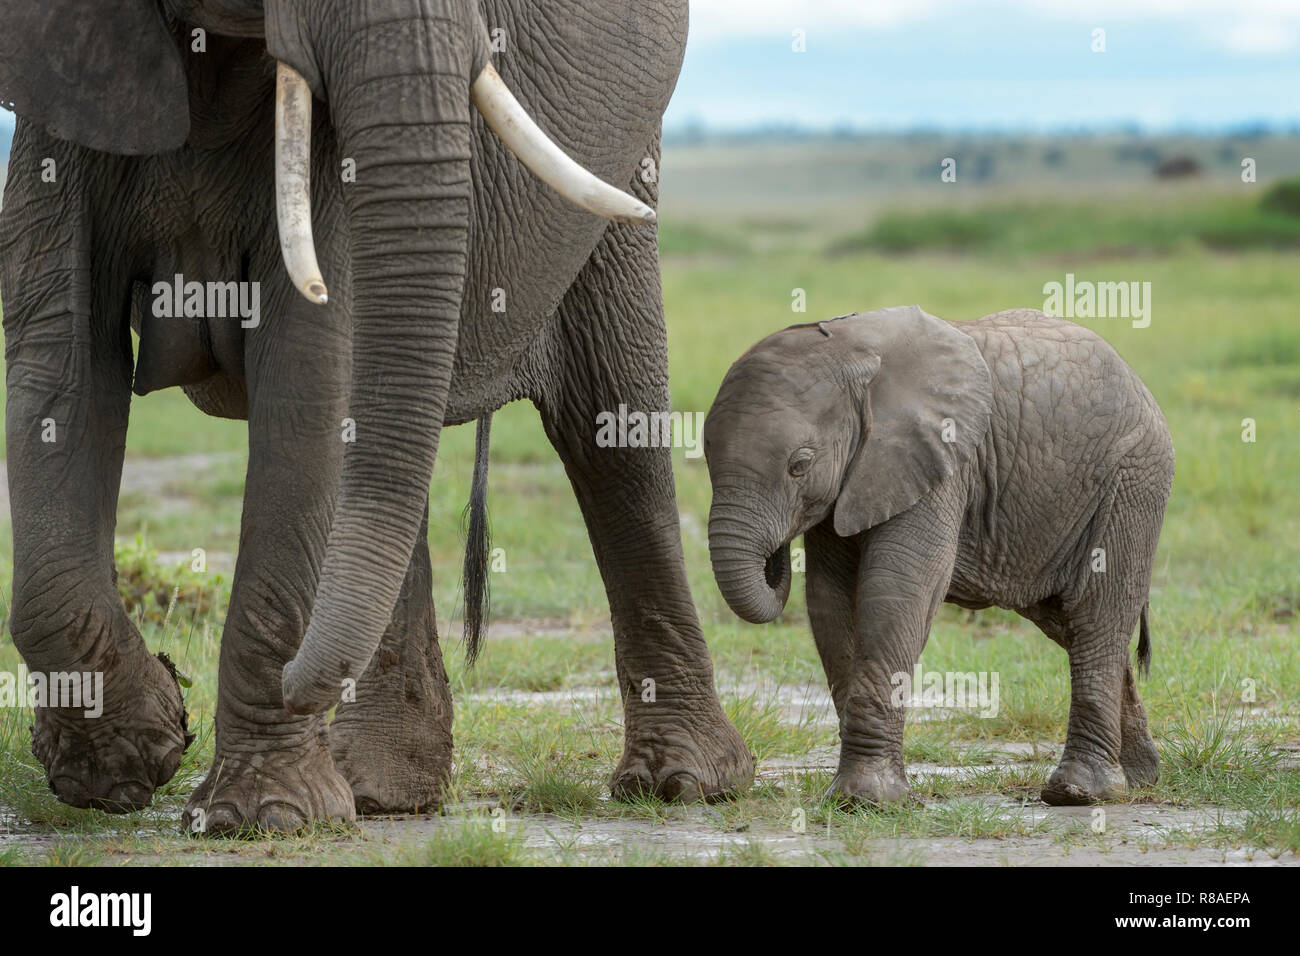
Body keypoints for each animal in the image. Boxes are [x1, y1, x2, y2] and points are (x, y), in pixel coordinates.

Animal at [0, 0, 754, 833]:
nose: (297, 682)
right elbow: (57, 365)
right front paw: (125, 764)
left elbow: (306, 378)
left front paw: (264, 815)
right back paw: (384, 794)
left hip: (619, 171)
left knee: (611, 434)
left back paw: (684, 783)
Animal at [702, 305, 1174, 807]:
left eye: (800, 464)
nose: (775, 555)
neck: (853, 352)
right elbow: (831, 601)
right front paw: (853, 797)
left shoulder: (938, 461)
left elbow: (898, 592)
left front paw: (867, 799)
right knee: (1067, 620)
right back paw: (1137, 778)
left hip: (1133, 479)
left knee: (1094, 616)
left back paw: (1080, 792)